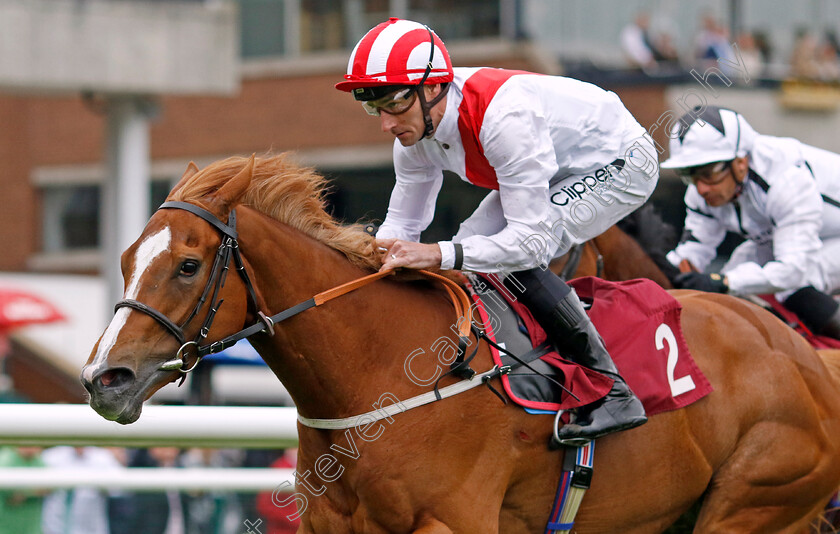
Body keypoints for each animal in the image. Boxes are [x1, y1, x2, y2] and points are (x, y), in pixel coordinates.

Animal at [82, 154, 840, 532]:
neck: (378, 372)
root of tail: (802, 358)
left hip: (758, 498)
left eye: (187, 265)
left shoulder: (452, 523)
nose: (103, 379)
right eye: (123, 258)